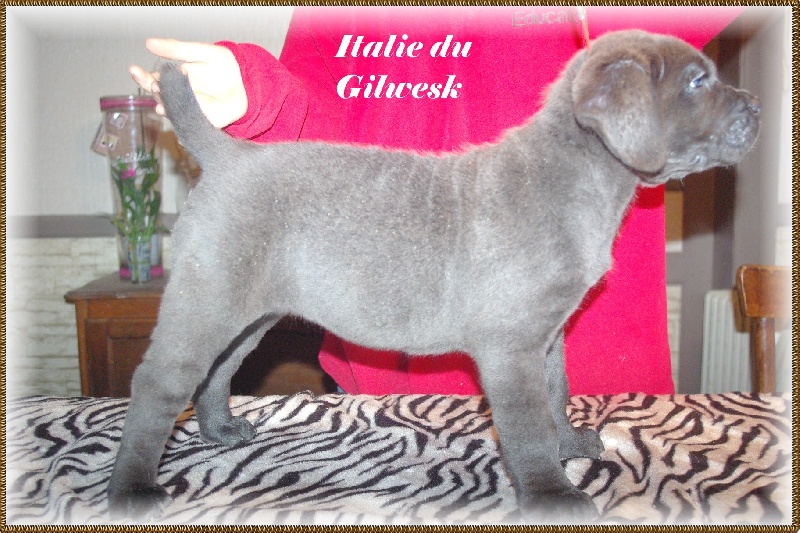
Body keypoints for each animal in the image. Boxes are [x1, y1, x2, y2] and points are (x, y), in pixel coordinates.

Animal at [107, 30, 760, 523]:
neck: (579, 178)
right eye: (697, 82)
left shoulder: (546, 338)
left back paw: (220, 430)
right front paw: (552, 493)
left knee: (217, 370)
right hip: (207, 298)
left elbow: (556, 394)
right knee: (156, 384)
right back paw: (132, 489)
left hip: (249, 309)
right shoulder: (510, 347)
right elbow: (527, 427)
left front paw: (570, 443)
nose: (755, 107)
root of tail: (228, 154)